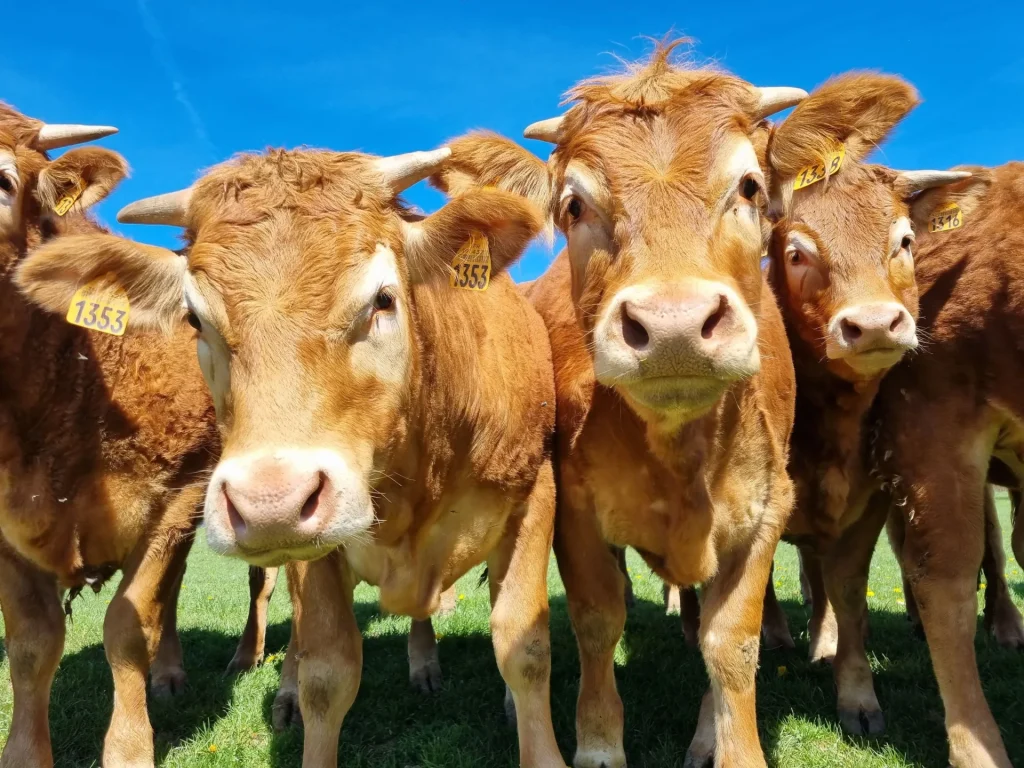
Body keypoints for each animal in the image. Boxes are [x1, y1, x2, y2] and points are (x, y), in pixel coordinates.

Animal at [16, 145, 565, 768]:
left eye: (383, 299)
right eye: (194, 319)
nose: (269, 503)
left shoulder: (534, 496)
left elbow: (524, 647)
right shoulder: (316, 556)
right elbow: (326, 671)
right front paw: (302, 698)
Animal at [428, 43, 802, 768]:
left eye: (749, 187)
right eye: (574, 205)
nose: (675, 325)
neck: (681, 453)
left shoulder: (768, 506)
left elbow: (730, 643)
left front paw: (725, 742)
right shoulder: (572, 505)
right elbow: (598, 620)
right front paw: (599, 741)